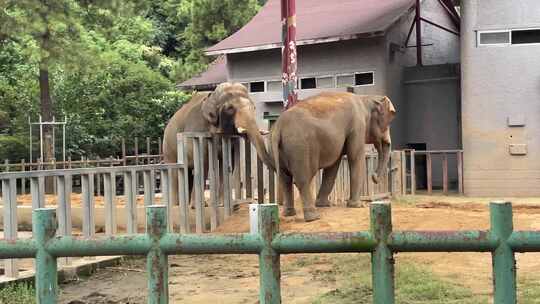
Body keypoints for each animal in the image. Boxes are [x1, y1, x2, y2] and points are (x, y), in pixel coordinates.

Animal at [272, 91, 394, 222]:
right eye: (388, 122)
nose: (374, 176)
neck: (365, 98)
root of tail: (278, 127)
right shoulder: (358, 125)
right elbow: (355, 156)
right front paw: (358, 205)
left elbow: (333, 166)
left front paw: (324, 204)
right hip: (300, 147)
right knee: (302, 180)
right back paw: (314, 217)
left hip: (283, 151)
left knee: (285, 180)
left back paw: (289, 213)